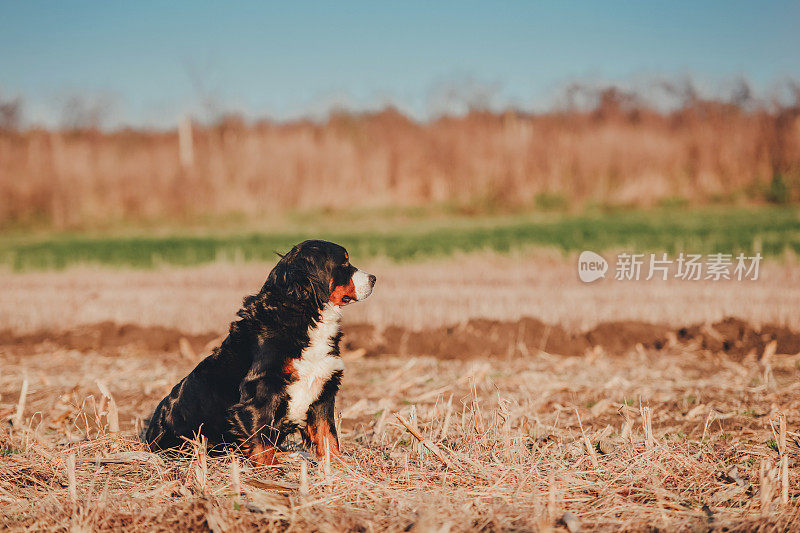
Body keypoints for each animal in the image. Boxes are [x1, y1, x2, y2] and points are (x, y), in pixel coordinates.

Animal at [143, 239, 376, 464]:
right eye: (344, 263)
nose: (374, 278)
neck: (303, 314)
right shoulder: (261, 391)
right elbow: (262, 442)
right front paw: (271, 472)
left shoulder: (323, 390)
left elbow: (327, 435)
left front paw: (339, 466)